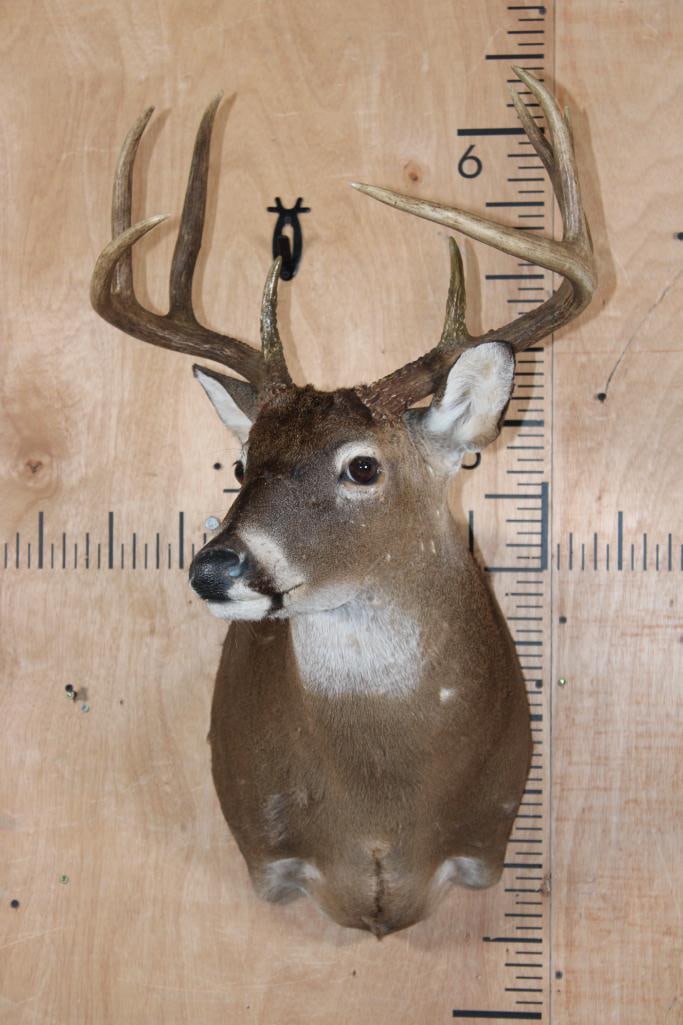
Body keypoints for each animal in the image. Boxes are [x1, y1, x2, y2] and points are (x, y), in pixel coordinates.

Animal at [91, 69, 595, 937]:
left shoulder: (486, 832)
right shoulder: (269, 848)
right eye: (240, 462)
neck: (377, 812)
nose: (215, 566)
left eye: (361, 466)